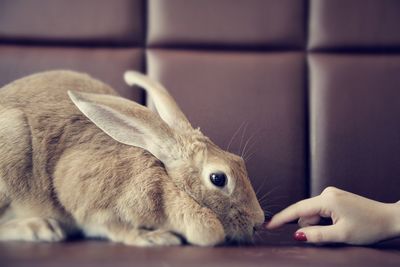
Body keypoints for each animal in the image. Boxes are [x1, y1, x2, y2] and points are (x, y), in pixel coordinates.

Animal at [0, 70, 266, 247]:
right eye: (218, 178)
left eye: (239, 160)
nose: (259, 222)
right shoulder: (89, 200)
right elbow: (114, 228)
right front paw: (155, 238)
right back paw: (41, 228)